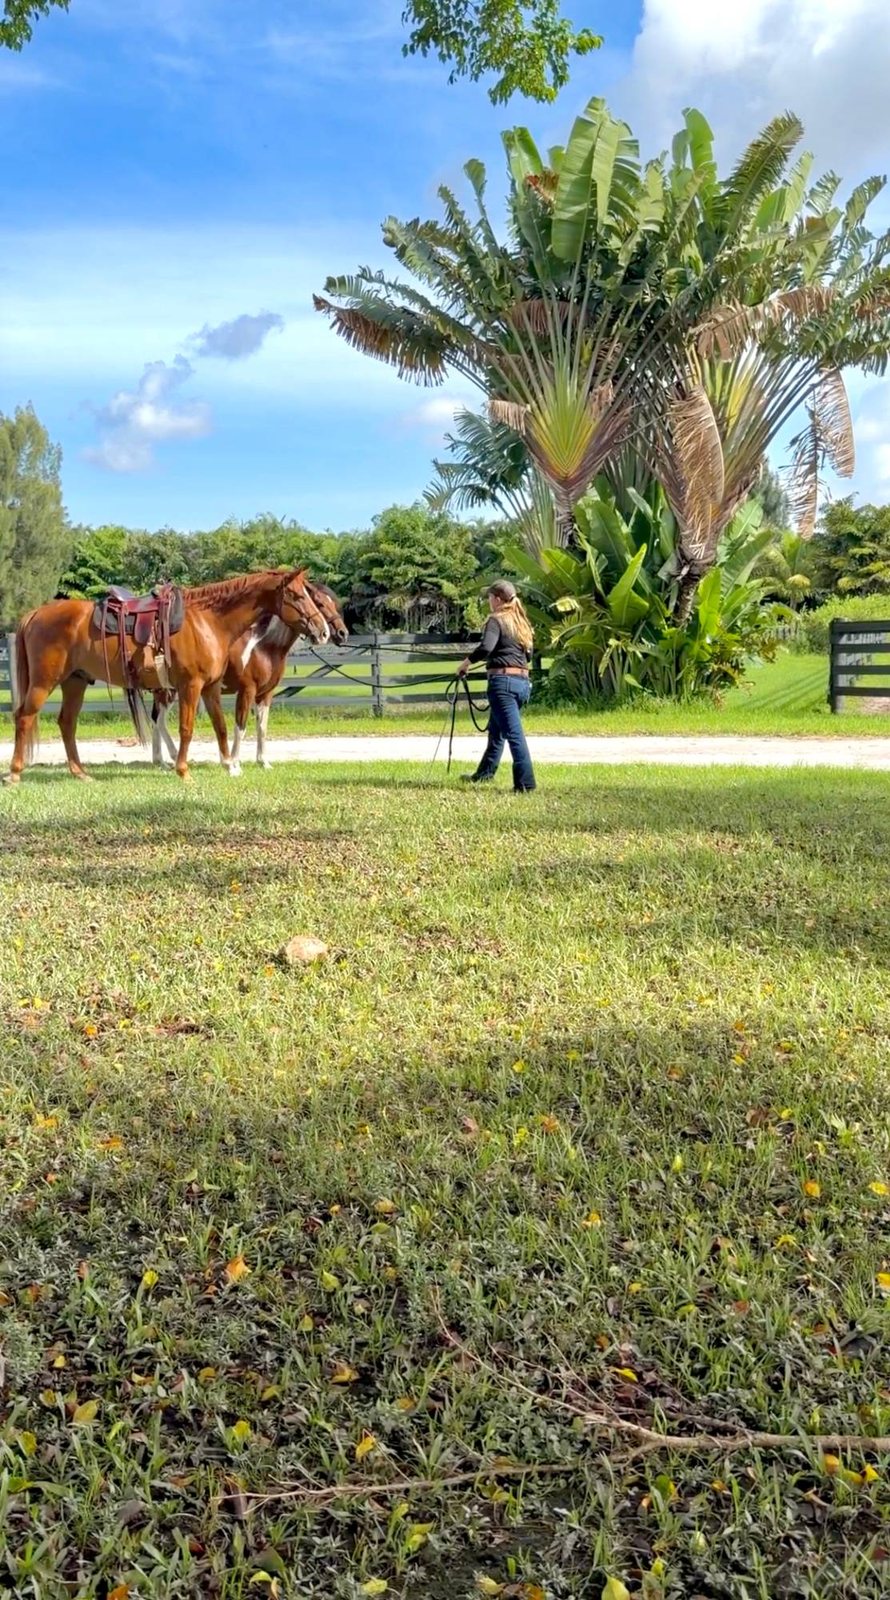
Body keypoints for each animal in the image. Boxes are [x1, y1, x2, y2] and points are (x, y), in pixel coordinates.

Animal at [5, 568, 328, 785]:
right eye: (297, 595)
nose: (324, 631)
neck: (208, 622)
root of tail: (35, 614)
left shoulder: (210, 688)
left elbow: (221, 727)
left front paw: (229, 765)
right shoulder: (191, 686)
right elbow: (187, 728)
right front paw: (183, 770)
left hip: (76, 682)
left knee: (67, 723)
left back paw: (80, 773)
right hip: (44, 682)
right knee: (24, 717)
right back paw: (15, 773)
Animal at [150, 581, 349, 776]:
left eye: (333, 604)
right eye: (319, 603)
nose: (342, 633)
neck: (264, 647)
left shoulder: (266, 694)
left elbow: (262, 727)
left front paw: (263, 762)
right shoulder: (247, 691)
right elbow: (241, 726)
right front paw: (235, 763)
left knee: (156, 720)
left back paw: (161, 761)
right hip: (170, 691)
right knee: (160, 721)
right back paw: (171, 757)